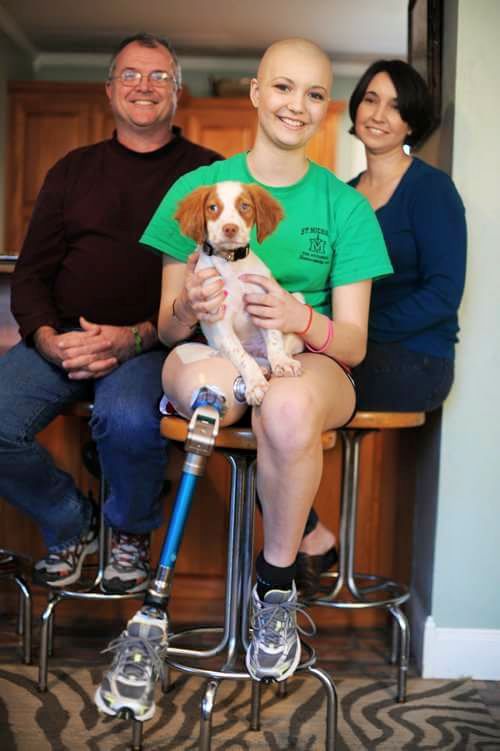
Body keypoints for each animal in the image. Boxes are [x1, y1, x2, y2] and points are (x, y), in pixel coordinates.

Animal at [174, 181, 304, 406]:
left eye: (244, 206)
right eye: (212, 208)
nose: (230, 228)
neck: (231, 264)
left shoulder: (264, 304)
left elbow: (274, 340)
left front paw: (282, 362)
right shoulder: (219, 320)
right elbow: (241, 356)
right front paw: (255, 384)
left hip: (298, 320)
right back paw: (262, 369)